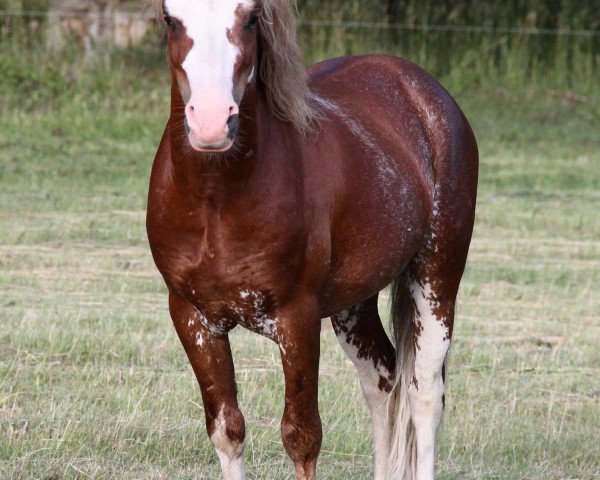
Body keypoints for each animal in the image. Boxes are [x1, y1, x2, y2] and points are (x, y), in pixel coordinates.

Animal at [145, 0, 478, 480]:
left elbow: (301, 437)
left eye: (251, 18)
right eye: (170, 19)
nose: (211, 123)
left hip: (436, 281)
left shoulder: (297, 319)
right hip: (353, 304)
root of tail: (421, 89)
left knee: (424, 396)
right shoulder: (192, 318)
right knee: (382, 380)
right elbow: (227, 430)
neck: (216, 202)